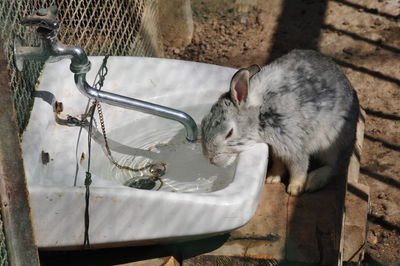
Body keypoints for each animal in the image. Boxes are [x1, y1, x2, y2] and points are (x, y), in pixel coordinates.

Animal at [202, 49, 360, 195]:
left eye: (229, 133)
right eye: (204, 122)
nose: (209, 158)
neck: (260, 113)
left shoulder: (294, 146)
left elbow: (298, 168)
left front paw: (295, 189)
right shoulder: (277, 148)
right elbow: (279, 164)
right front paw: (272, 178)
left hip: (333, 143)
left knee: (336, 166)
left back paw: (314, 181)